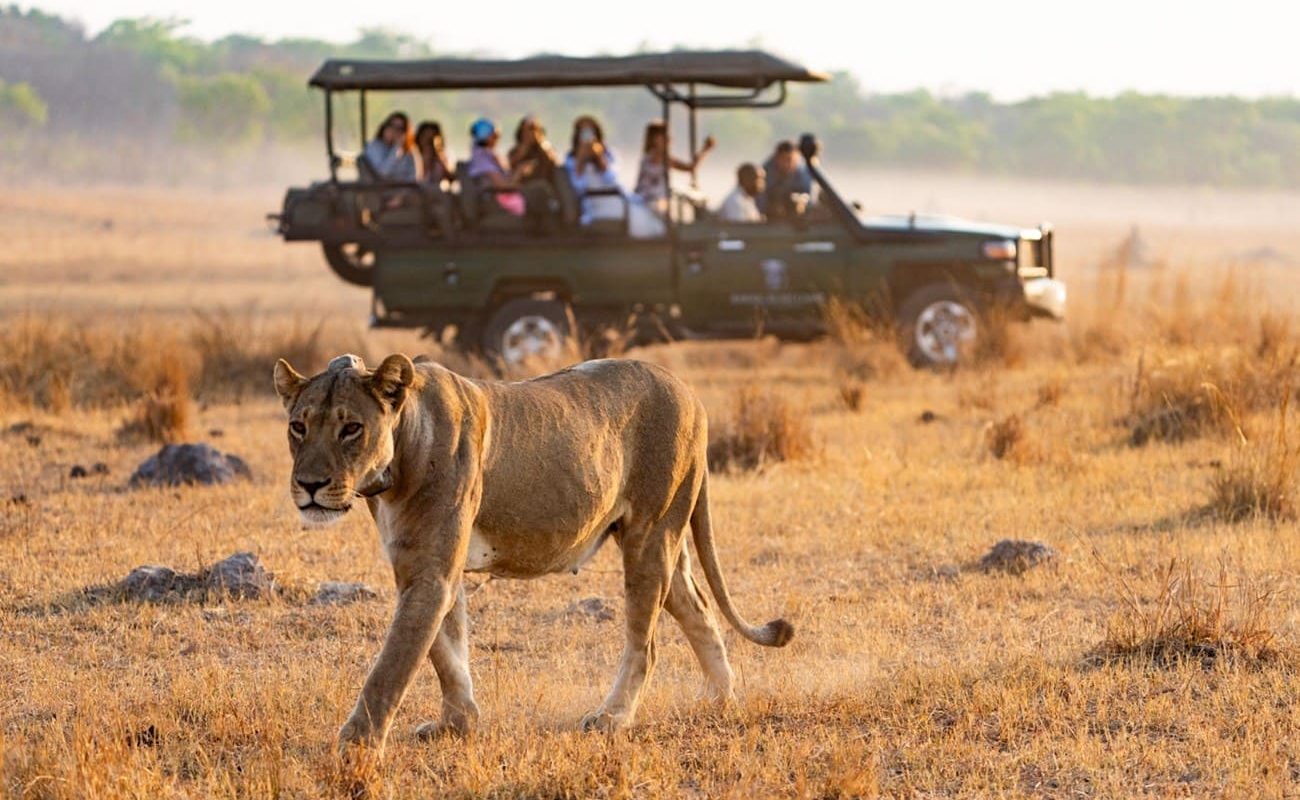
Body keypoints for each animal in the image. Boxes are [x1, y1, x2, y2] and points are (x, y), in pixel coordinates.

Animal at [272, 353, 793, 751]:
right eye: (298, 426)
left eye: (351, 429)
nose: (310, 485)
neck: (396, 461)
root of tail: (689, 391)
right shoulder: (420, 566)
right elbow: (446, 651)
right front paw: (456, 725)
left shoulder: (431, 572)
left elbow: (392, 666)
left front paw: (355, 744)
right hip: (664, 540)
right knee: (698, 608)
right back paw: (720, 698)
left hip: (651, 536)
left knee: (645, 644)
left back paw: (612, 718)